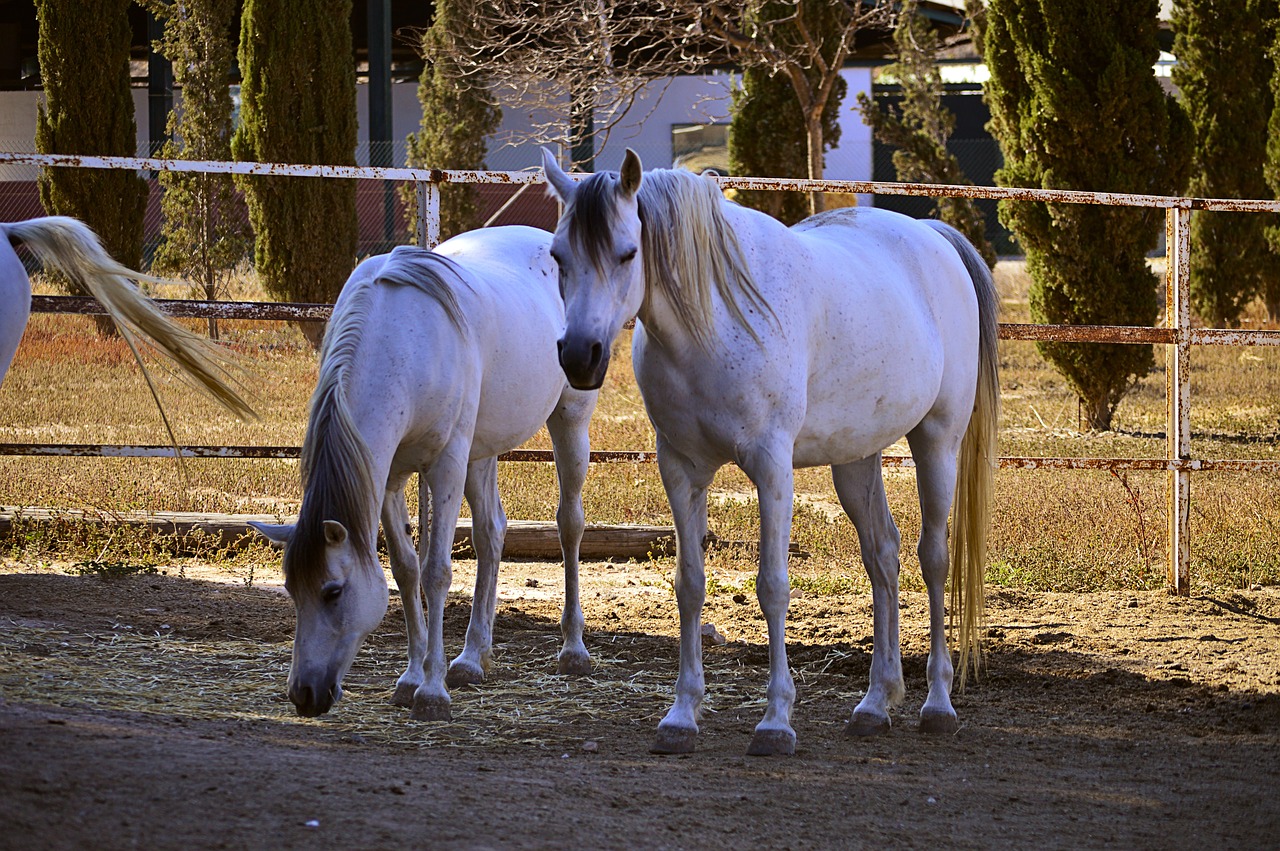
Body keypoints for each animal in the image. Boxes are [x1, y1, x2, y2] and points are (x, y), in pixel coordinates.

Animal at [249, 223, 599, 716]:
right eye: (290, 590)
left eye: (333, 591)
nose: (305, 695)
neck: (401, 340)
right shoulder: (388, 478)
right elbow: (405, 569)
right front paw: (411, 678)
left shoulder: (445, 465)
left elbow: (436, 572)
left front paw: (432, 692)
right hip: (481, 451)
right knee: (491, 532)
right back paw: (472, 658)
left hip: (568, 422)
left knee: (569, 524)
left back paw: (572, 650)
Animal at [540, 149, 998, 752]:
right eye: (558, 255)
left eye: (627, 252)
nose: (578, 357)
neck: (712, 326)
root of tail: (932, 236)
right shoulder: (680, 471)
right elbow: (689, 585)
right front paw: (681, 716)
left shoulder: (772, 468)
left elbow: (773, 587)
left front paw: (776, 720)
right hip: (855, 458)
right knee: (883, 554)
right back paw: (876, 702)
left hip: (937, 442)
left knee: (934, 558)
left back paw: (938, 704)